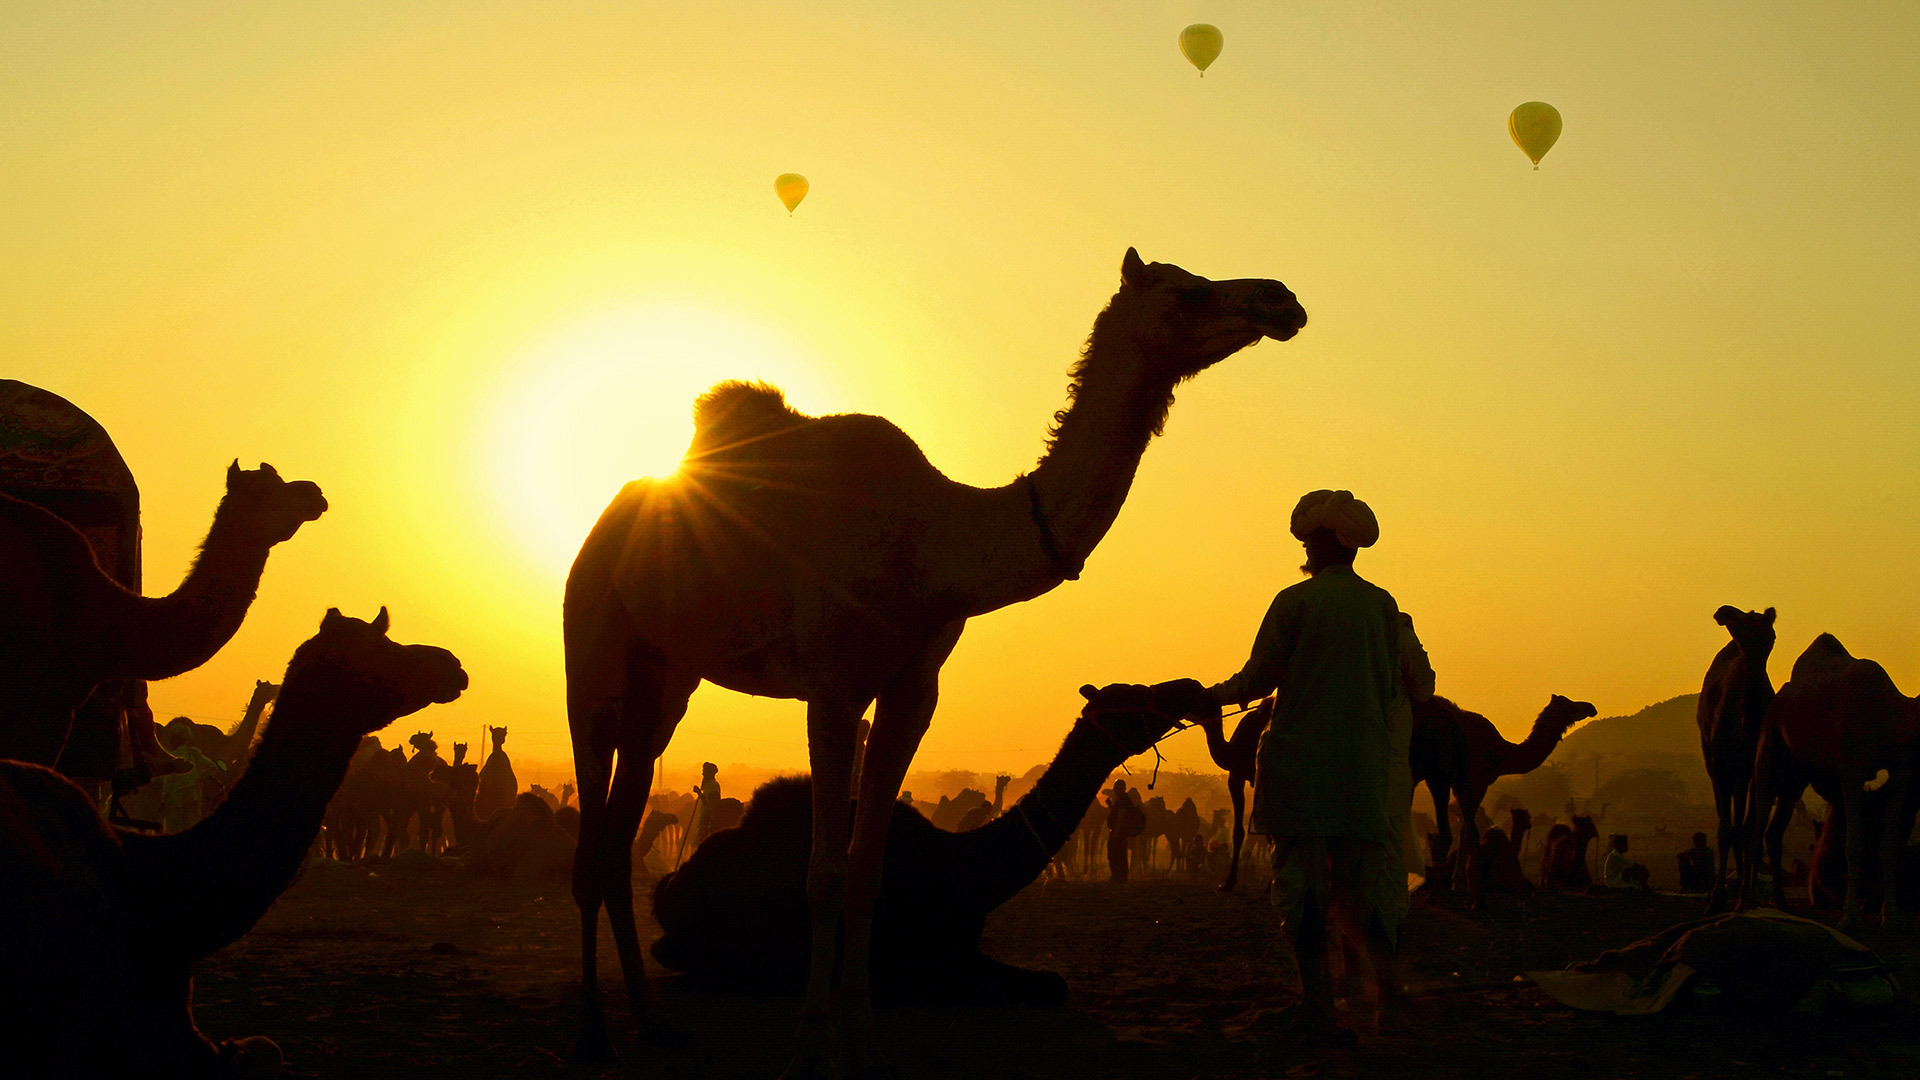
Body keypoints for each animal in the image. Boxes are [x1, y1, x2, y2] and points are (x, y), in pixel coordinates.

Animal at [652, 680, 1205, 999]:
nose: (1188, 687)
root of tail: (668, 888)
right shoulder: (934, 954)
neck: (968, 868)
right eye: (1133, 698)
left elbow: (1052, 982)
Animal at [1413, 691, 1589, 887]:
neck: (1501, 752)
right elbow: (1470, 833)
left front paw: (1457, 881)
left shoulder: (1457, 784)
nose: (1591, 708)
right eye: (1570, 706)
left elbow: (1463, 832)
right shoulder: (1475, 783)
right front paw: (1463, 883)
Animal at [1697, 599, 1781, 903]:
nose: (1723, 612)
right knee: (1730, 825)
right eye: (1740, 636)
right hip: (1714, 758)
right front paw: (1715, 898)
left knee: (1742, 825)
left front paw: (1748, 894)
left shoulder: (1757, 768)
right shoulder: (1720, 766)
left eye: (1771, 638)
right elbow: (1725, 830)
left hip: (1743, 772)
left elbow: (1749, 829)